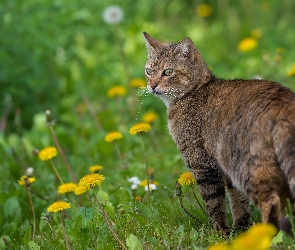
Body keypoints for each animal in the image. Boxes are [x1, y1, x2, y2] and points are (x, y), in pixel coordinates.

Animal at [145, 31, 295, 234]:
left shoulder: (202, 163)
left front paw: (220, 232)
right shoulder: (225, 172)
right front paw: (240, 228)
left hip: (247, 168)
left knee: (270, 203)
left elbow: (214, 203)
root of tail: (281, 100)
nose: (152, 85)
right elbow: (238, 201)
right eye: (149, 71)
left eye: (168, 72)